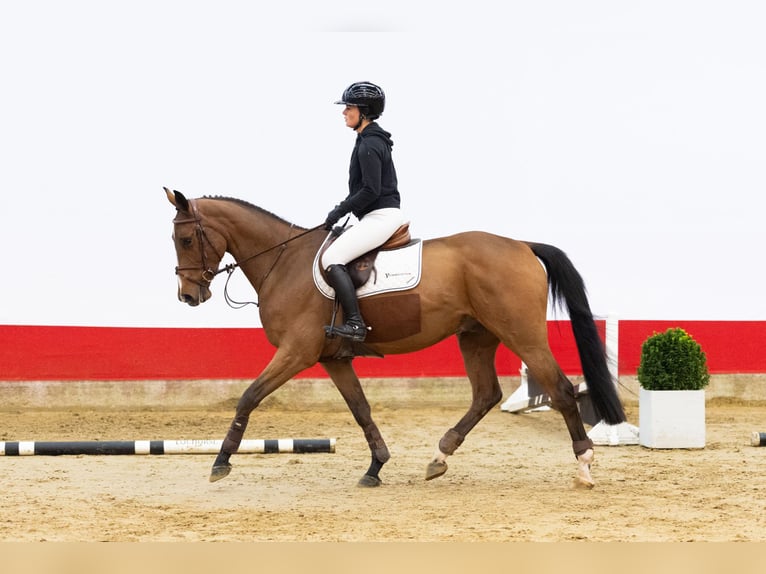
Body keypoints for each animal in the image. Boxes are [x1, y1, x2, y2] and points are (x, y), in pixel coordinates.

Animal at [164, 187, 626, 488]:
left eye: (185, 238)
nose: (188, 296)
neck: (284, 260)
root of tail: (522, 245)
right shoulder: (333, 359)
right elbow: (361, 410)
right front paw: (375, 468)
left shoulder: (297, 352)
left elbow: (248, 396)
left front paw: (221, 462)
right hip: (477, 336)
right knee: (486, 395)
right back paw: (438, 458)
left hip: (521, 333)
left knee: (560, 389)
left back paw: (584, 466)